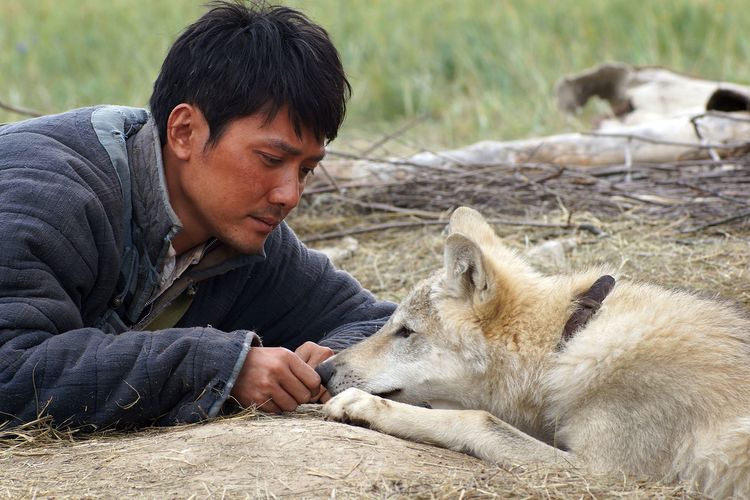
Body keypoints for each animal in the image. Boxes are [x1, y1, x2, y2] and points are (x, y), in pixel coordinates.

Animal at [317, 206, 750, 498]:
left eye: (406, 331)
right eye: (392, 324)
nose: (322, 371)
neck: (566, 342)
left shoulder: (604, 475)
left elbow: (476, 419)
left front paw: (362, 406)